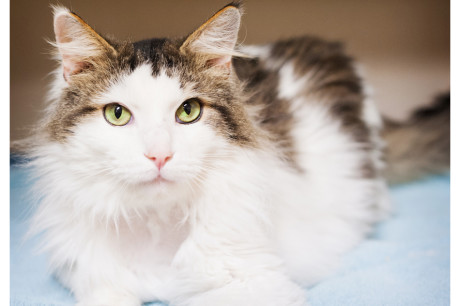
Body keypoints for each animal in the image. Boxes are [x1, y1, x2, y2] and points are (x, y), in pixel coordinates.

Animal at [21, 2, 450, 306]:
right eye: (117, 114)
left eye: (188, 111)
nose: (159, 156)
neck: (157, 222)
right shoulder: (90, 276)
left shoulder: (256, 283)